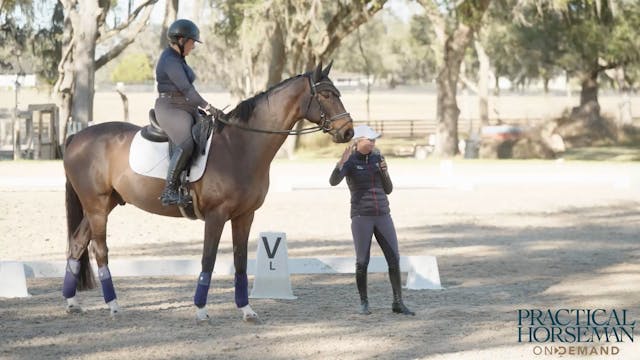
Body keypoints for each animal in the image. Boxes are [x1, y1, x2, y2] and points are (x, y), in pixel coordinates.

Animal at [62, 62, 352, 324]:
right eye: (326, 95)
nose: (348, 131)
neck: (241, 146)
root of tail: (77, 137)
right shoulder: (216, 215)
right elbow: (208, 260)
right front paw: (201, 310)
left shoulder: (245, 215)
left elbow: (240, 262)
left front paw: (246, 310)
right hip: (97, 206)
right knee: (99, 249)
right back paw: (113, 306)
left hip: (103, 205)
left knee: (77, 243)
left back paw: (73, 303)